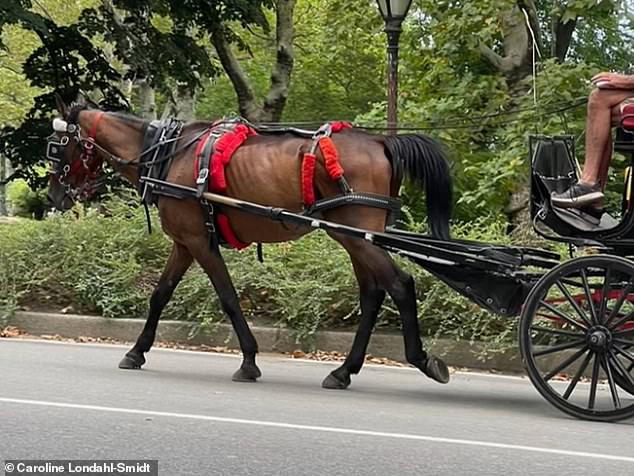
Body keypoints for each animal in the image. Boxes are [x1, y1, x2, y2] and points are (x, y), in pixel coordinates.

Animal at [47, 102, 452, 388]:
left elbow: (227, 297)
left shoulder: (199, 241)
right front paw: (136, 351)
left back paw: (420, 358)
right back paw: (344, 371)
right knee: (371, 295)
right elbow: (160, 295)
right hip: (354, 237)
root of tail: (381, 140)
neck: (168, 155)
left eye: (58, 146)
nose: (54, 197)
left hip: (355, 233)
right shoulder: (184, 243)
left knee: (399, 284)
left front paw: (249, 360)